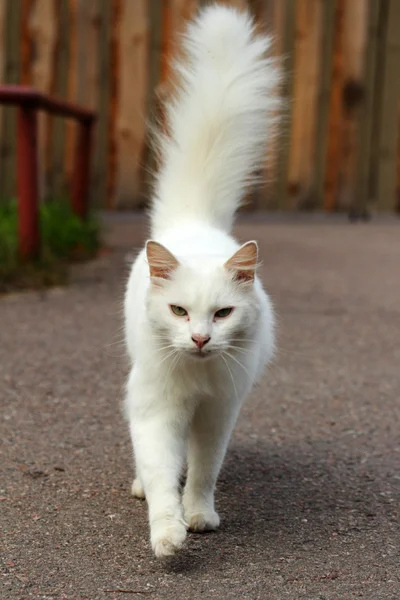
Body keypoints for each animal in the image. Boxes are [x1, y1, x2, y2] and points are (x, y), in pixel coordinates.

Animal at [123, 3, 280, 556]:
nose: (198, 339)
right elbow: (161, 472)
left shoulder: (218, 412)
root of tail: (192, 222)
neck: (196, 379)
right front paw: (167, 533)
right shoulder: (157, 410)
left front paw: (199, 516)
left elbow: (204, 471)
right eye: (179, 311)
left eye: (222, 313)